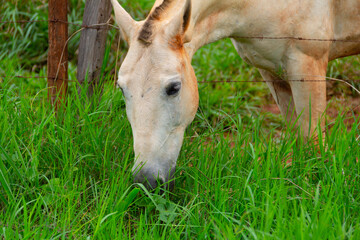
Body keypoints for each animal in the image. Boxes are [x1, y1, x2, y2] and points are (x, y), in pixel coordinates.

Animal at [110, 0, 360, 188]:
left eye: (174, 88)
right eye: (122, 88)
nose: (146, 180)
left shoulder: (308, 66)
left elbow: (313, 143)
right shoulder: (273, 72)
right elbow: (297, 134)